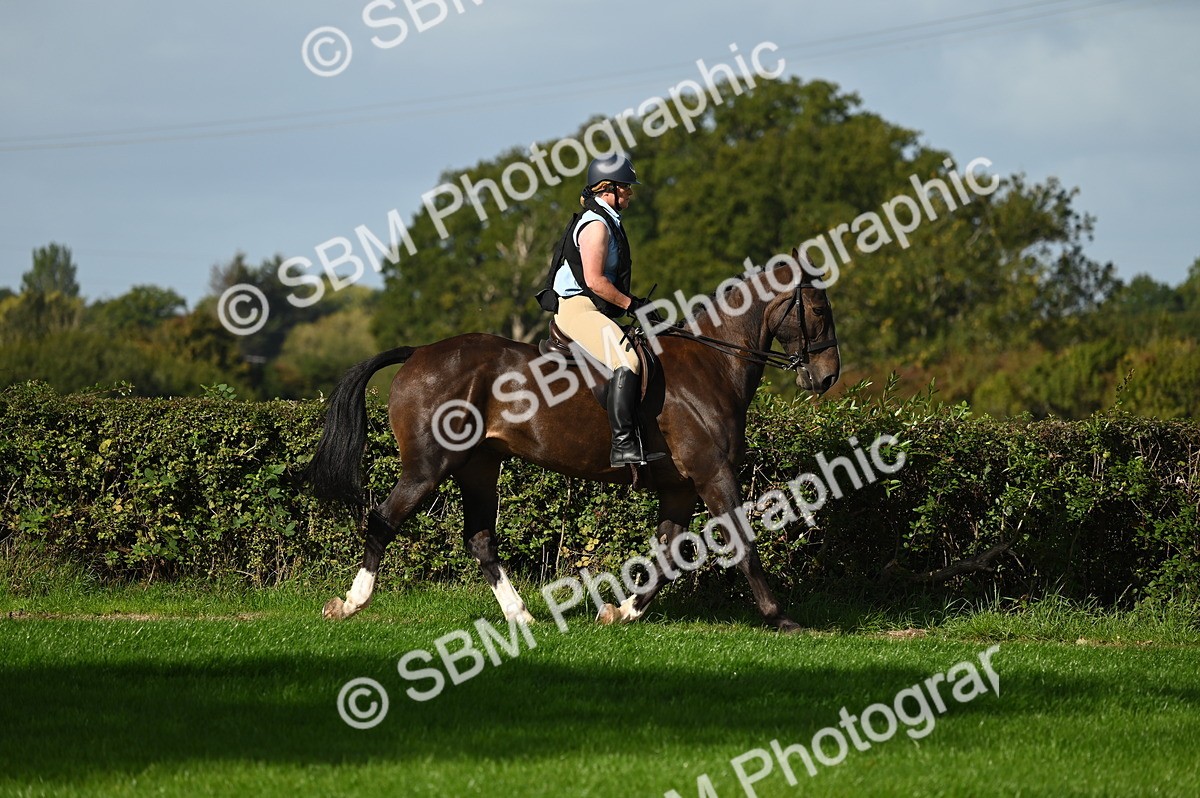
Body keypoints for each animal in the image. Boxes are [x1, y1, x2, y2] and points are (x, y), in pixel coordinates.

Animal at [297, 251, 840, 632]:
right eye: (816, 308)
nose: (828, 377)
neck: (713, 362)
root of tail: (418, 352)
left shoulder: (682, 486)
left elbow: (668, 553)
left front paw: (623, 611)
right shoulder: (713, 474)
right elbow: (743, 541)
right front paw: (780, 617)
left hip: (479, 466)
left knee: (480, 539)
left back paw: (521, 615)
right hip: (428, 467)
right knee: (382, 520)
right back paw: (350, 603)